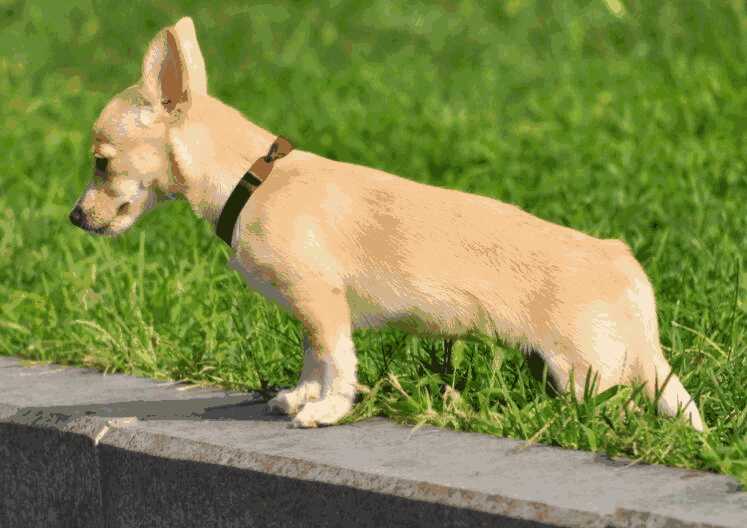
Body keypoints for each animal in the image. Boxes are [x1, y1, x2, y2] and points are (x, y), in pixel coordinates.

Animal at [67, 16, 704, 432]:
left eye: (100, 163)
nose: (75, 216)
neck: (252, 180)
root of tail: (623, 266)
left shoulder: (320, 298)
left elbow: (338, 360)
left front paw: (326, 410)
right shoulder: (310, 309)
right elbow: (314, 357)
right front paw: (301, 397)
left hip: (587, 374)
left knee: (624, 412)